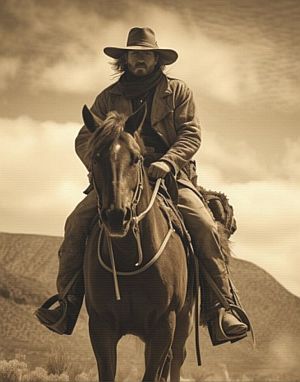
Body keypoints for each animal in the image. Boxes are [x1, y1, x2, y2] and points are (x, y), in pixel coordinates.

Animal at [81, 102, 197, 382]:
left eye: (136, 158)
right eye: (96, 157)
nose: (116, 216)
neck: (130, 258)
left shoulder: (164, 325)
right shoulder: (100, 326)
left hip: (183, 322)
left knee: (177, 360)